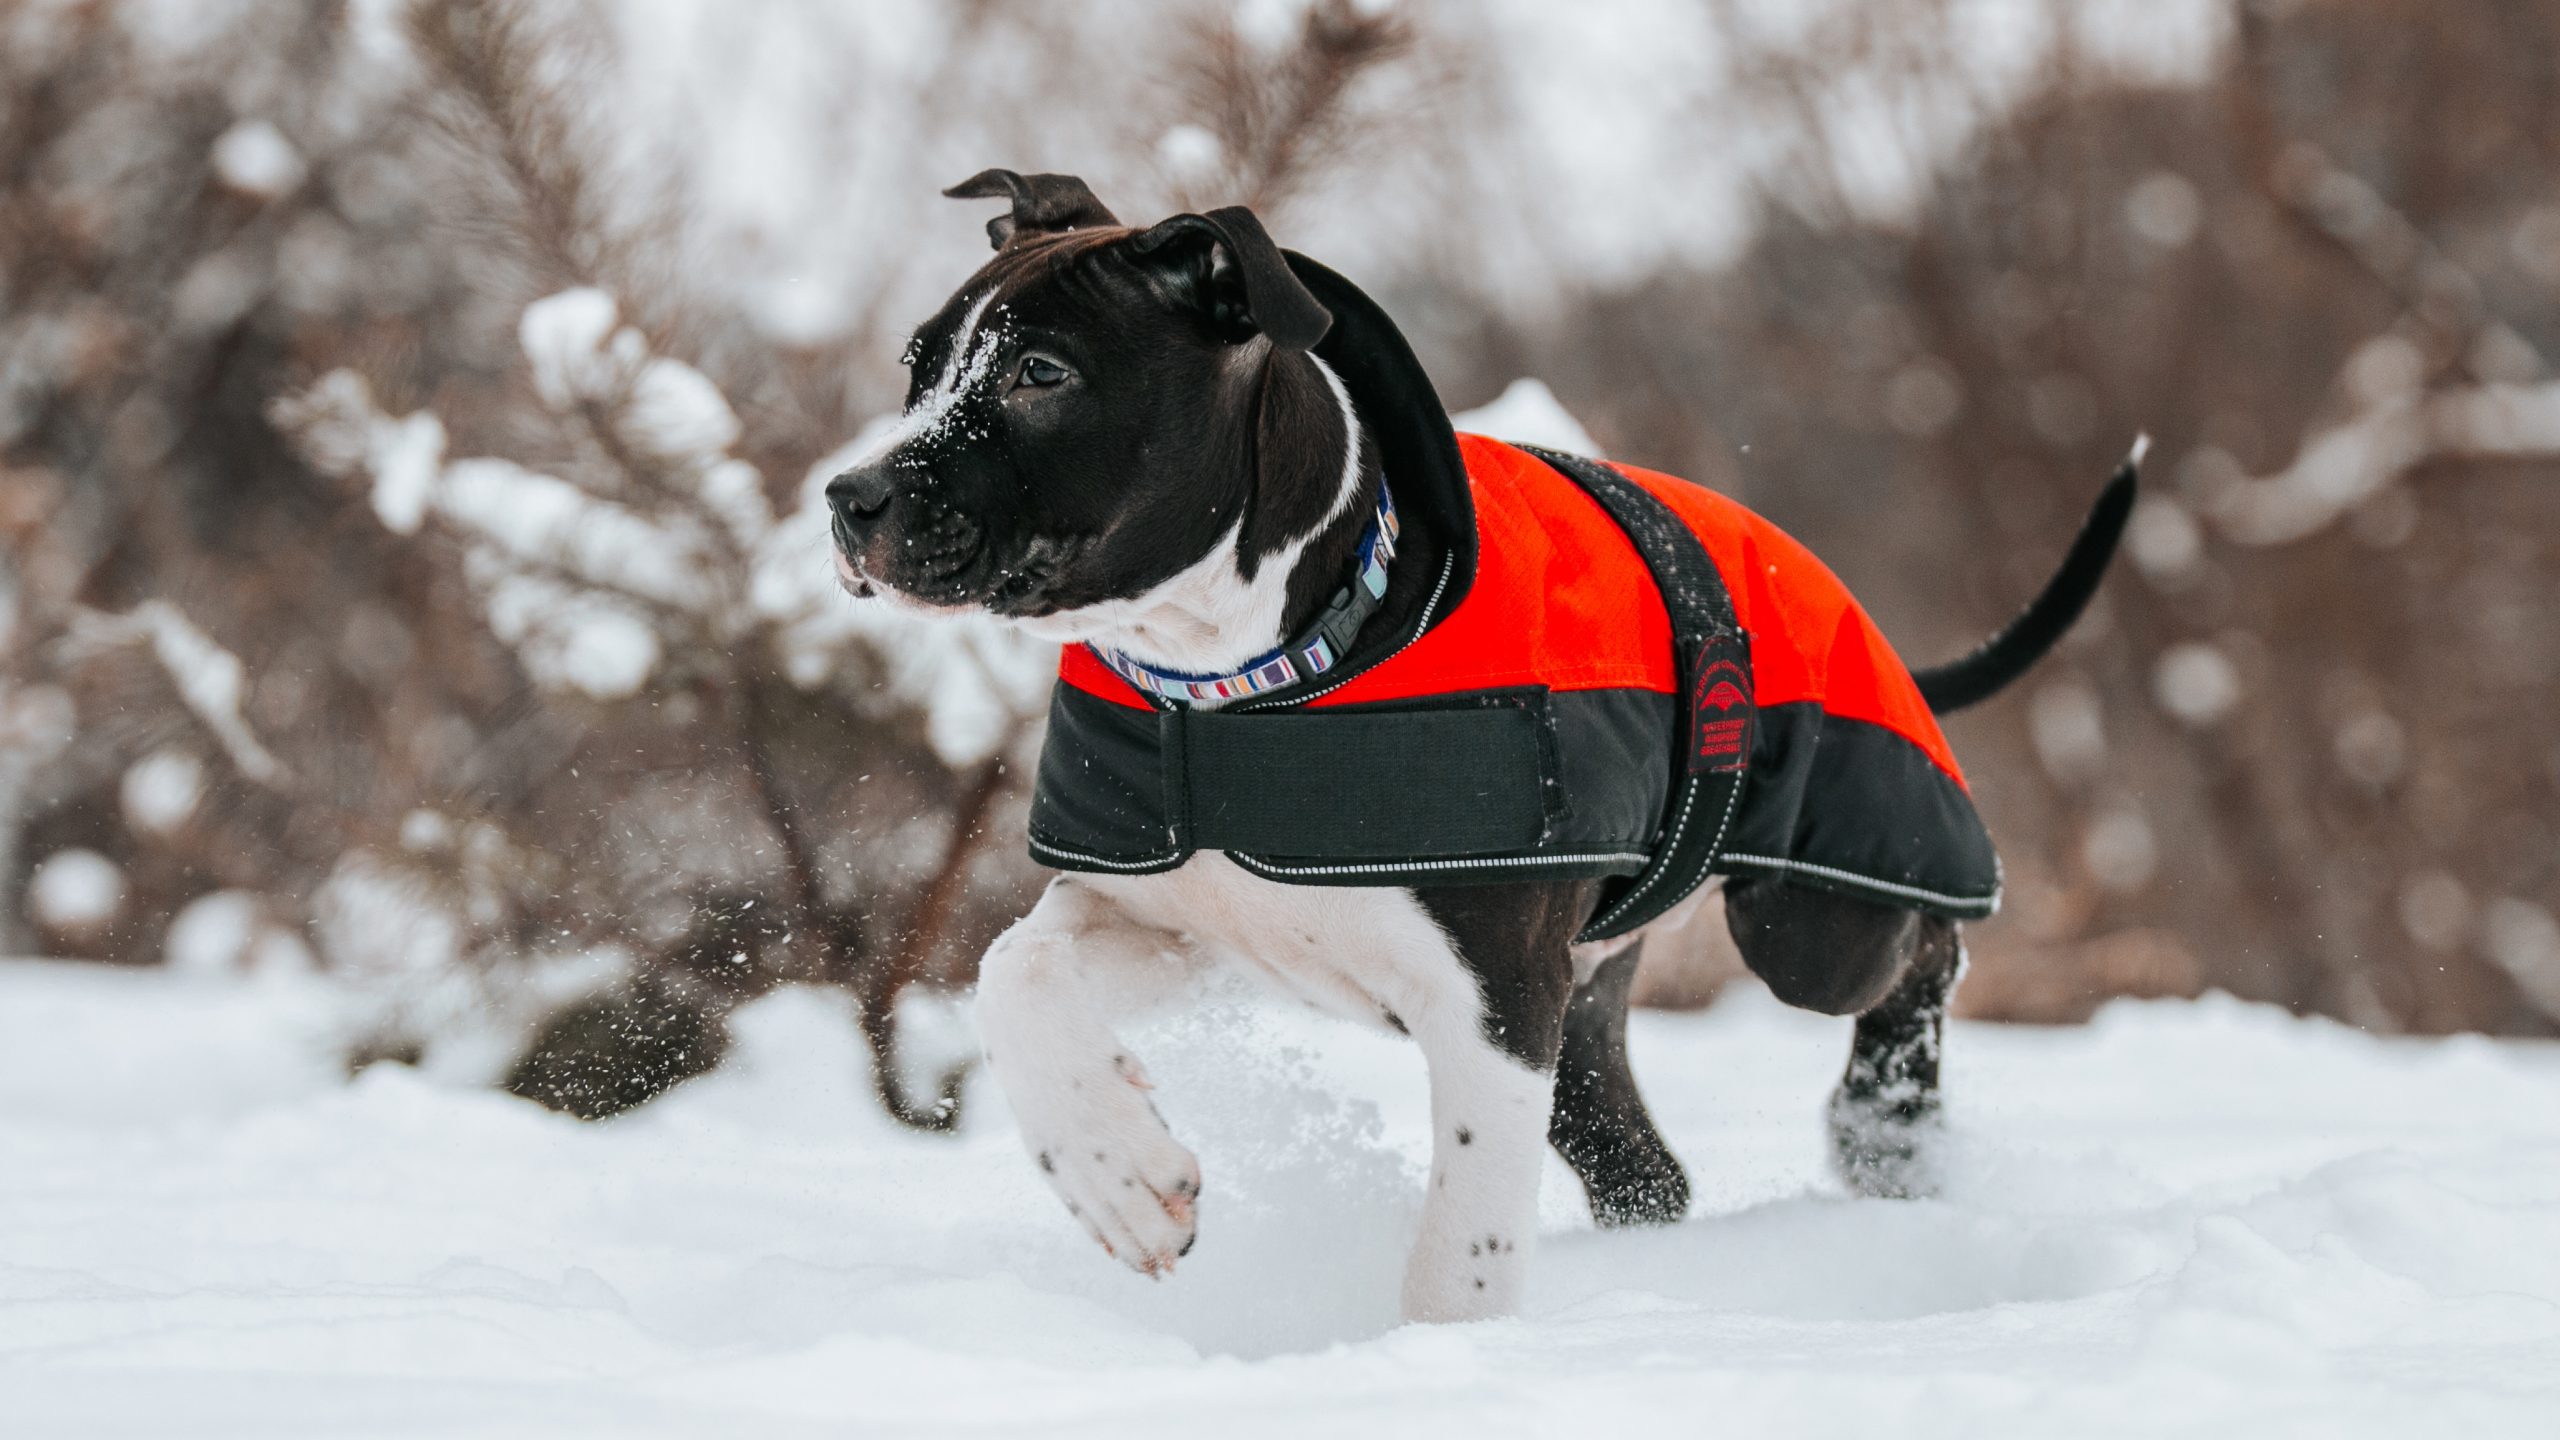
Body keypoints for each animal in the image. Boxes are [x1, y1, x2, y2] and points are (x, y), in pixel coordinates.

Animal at [829, 174, 2129, 1322]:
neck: (1236, 684)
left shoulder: (1494, 1004)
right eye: (916, 367)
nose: (848, 498)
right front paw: (1120, 1179)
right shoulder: (1183, 919)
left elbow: (1462, 1245)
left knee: (1928, 945)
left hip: (1809, 923)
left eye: (1041, 372)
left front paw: (1442, 1354)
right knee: (1648, 1173)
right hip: (1592, 1004)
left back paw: (1884, 1122)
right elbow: (1014, 973)